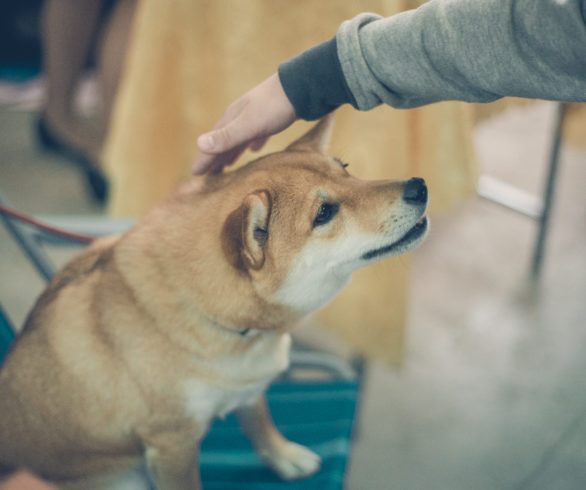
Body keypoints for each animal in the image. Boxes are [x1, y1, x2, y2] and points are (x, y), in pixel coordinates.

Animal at [1, 117, 428, 488]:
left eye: (346, 170)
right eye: (324, 212)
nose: (419, 186)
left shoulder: (250, 385)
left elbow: (259, 419)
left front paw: (282, 455)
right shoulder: (172, 444)